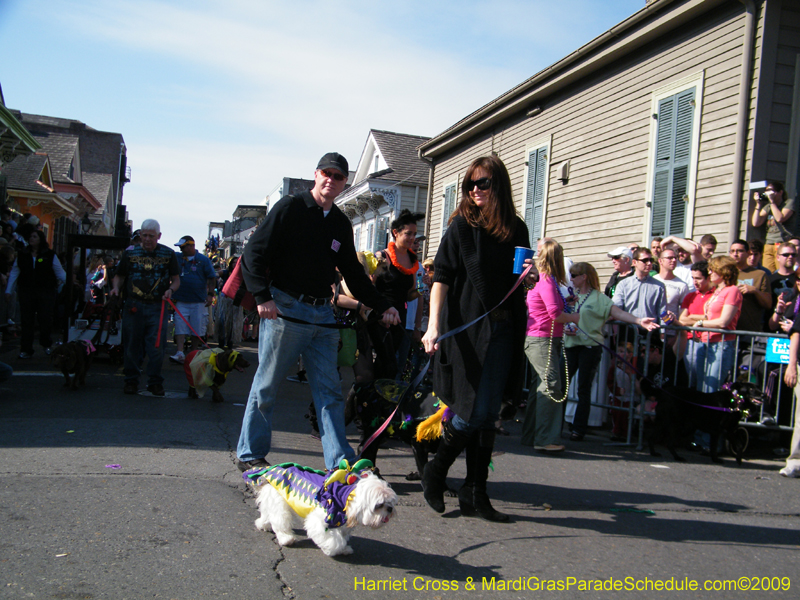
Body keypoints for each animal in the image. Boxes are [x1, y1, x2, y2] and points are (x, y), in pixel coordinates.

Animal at [250, 464, 396, 556]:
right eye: (379, 505)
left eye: (390, 502)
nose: (390, 509)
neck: (343, 498)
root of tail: (272, 470)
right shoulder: (320, 520)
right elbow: (333, 540)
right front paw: (335, 549)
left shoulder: (341, 523)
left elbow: (342, 535)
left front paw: (344, 549)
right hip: (280, 504)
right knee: (281, 522)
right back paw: (286, 538)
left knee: (267, 515)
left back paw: (263, 524)